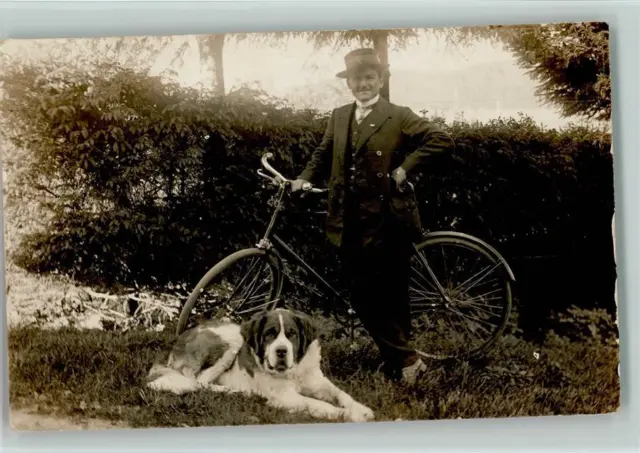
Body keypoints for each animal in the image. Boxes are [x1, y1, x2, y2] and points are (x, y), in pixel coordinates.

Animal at [146, 308, 376, 422]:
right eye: (269, 334)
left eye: (291, 334)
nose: (281, 351)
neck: (293, 371)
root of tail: (180, 339)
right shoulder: (284, 396)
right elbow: (317, 404)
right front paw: (349, 415)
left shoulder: (318, 381)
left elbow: (340, 394)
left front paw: (360, 408)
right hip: (231, 341)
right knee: (199, 383)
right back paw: (239, 391)